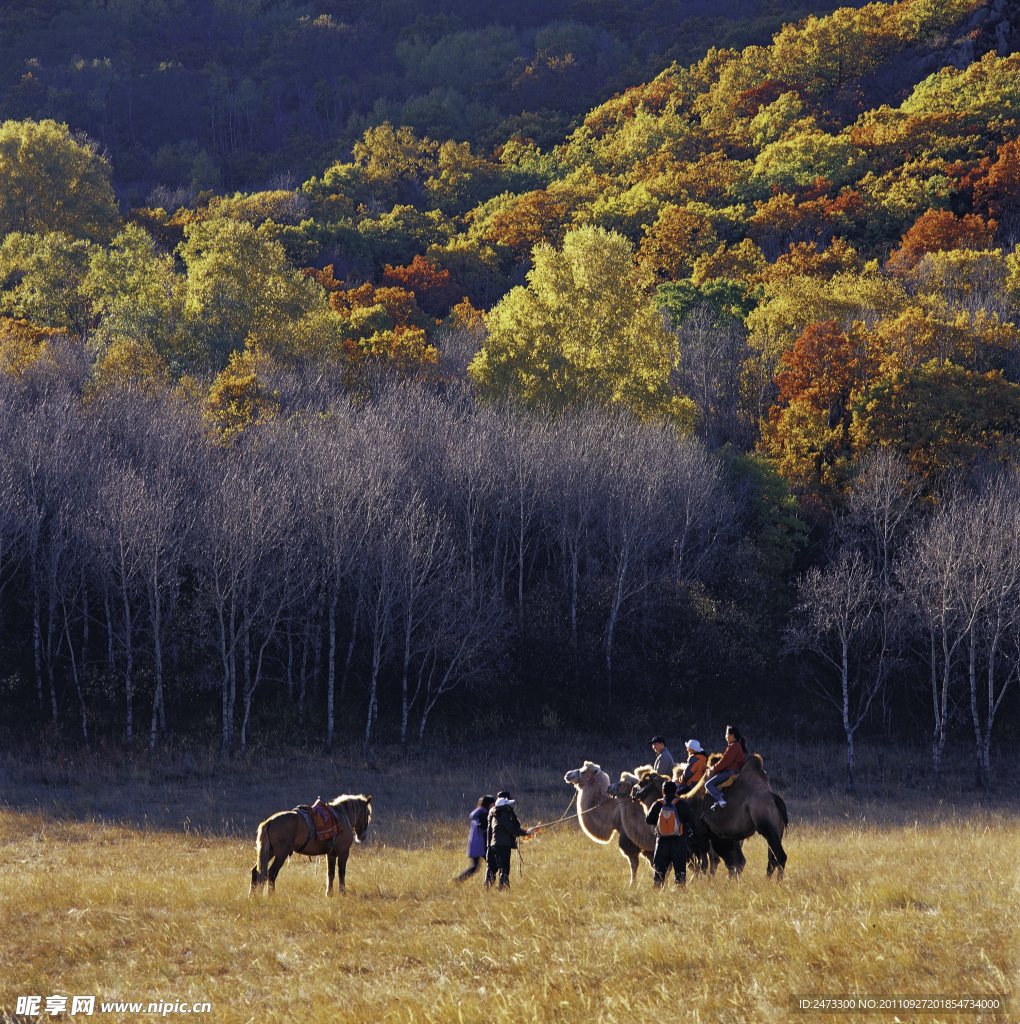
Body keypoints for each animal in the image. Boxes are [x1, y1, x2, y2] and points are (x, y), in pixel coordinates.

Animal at [630, 753, 790, 880]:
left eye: (643, 781)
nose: (633, 792)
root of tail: (775, 798)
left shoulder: (698, 837)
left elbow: (701, 863)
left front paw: (698, 880)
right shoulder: (716, 837)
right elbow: (719, 862)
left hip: (767, 826)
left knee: (778, 857)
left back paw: (776, 883)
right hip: (775, 830)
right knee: (766, 859)